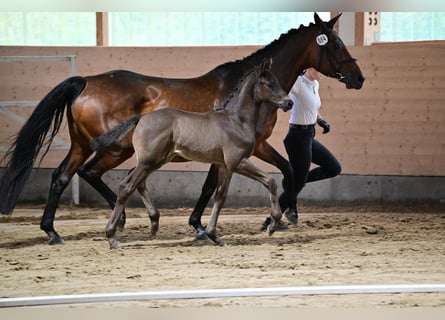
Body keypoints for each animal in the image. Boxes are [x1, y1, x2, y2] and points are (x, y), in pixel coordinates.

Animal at [91, 62, 292, 248]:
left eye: (277, 81)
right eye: (269, 84)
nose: (289, 103)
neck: (236, 121)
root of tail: (141, 118)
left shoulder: (224, 166)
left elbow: (220, 197)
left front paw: (215, 237)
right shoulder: (237, 162)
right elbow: (270, 181)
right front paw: (272, 224)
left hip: (156, 161)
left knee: (136, 183)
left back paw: (153, 224)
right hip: (149, 161)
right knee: (126, 186)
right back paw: (112, 237)